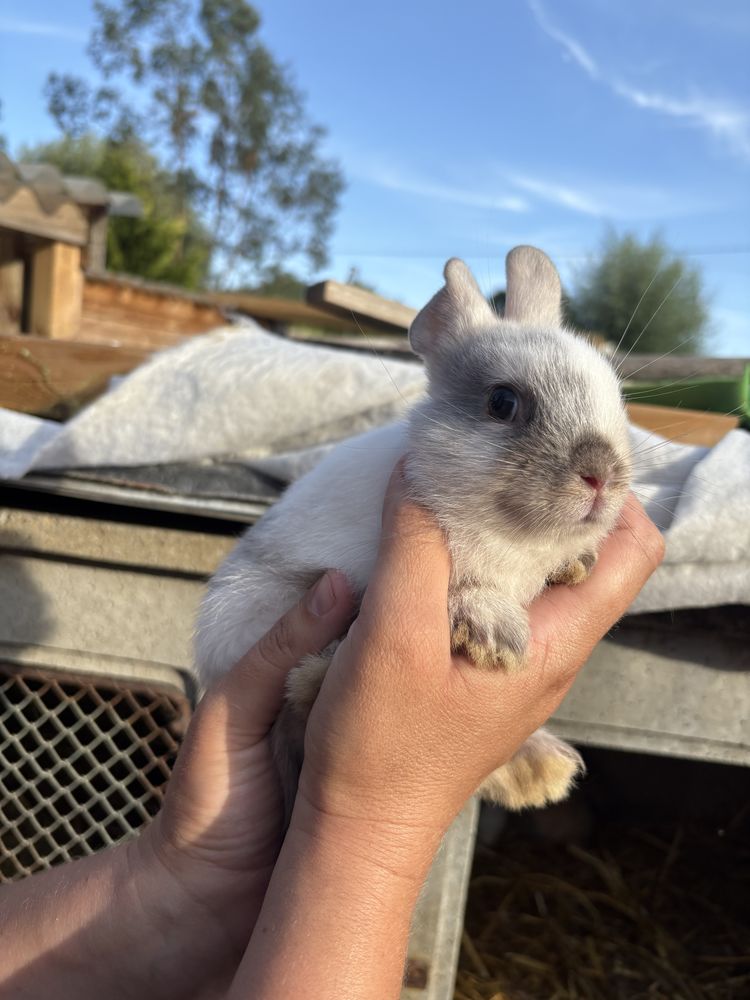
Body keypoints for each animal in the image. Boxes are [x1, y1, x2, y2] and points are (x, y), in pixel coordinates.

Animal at [195, 245, 632, 823]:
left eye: (619, 397)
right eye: (502, 403)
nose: (602, 474)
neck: (517, 541)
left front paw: (576, 564)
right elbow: (467, 592)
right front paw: (496, 636)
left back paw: (543, 773)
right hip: (244, 615)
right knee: (297, 699)